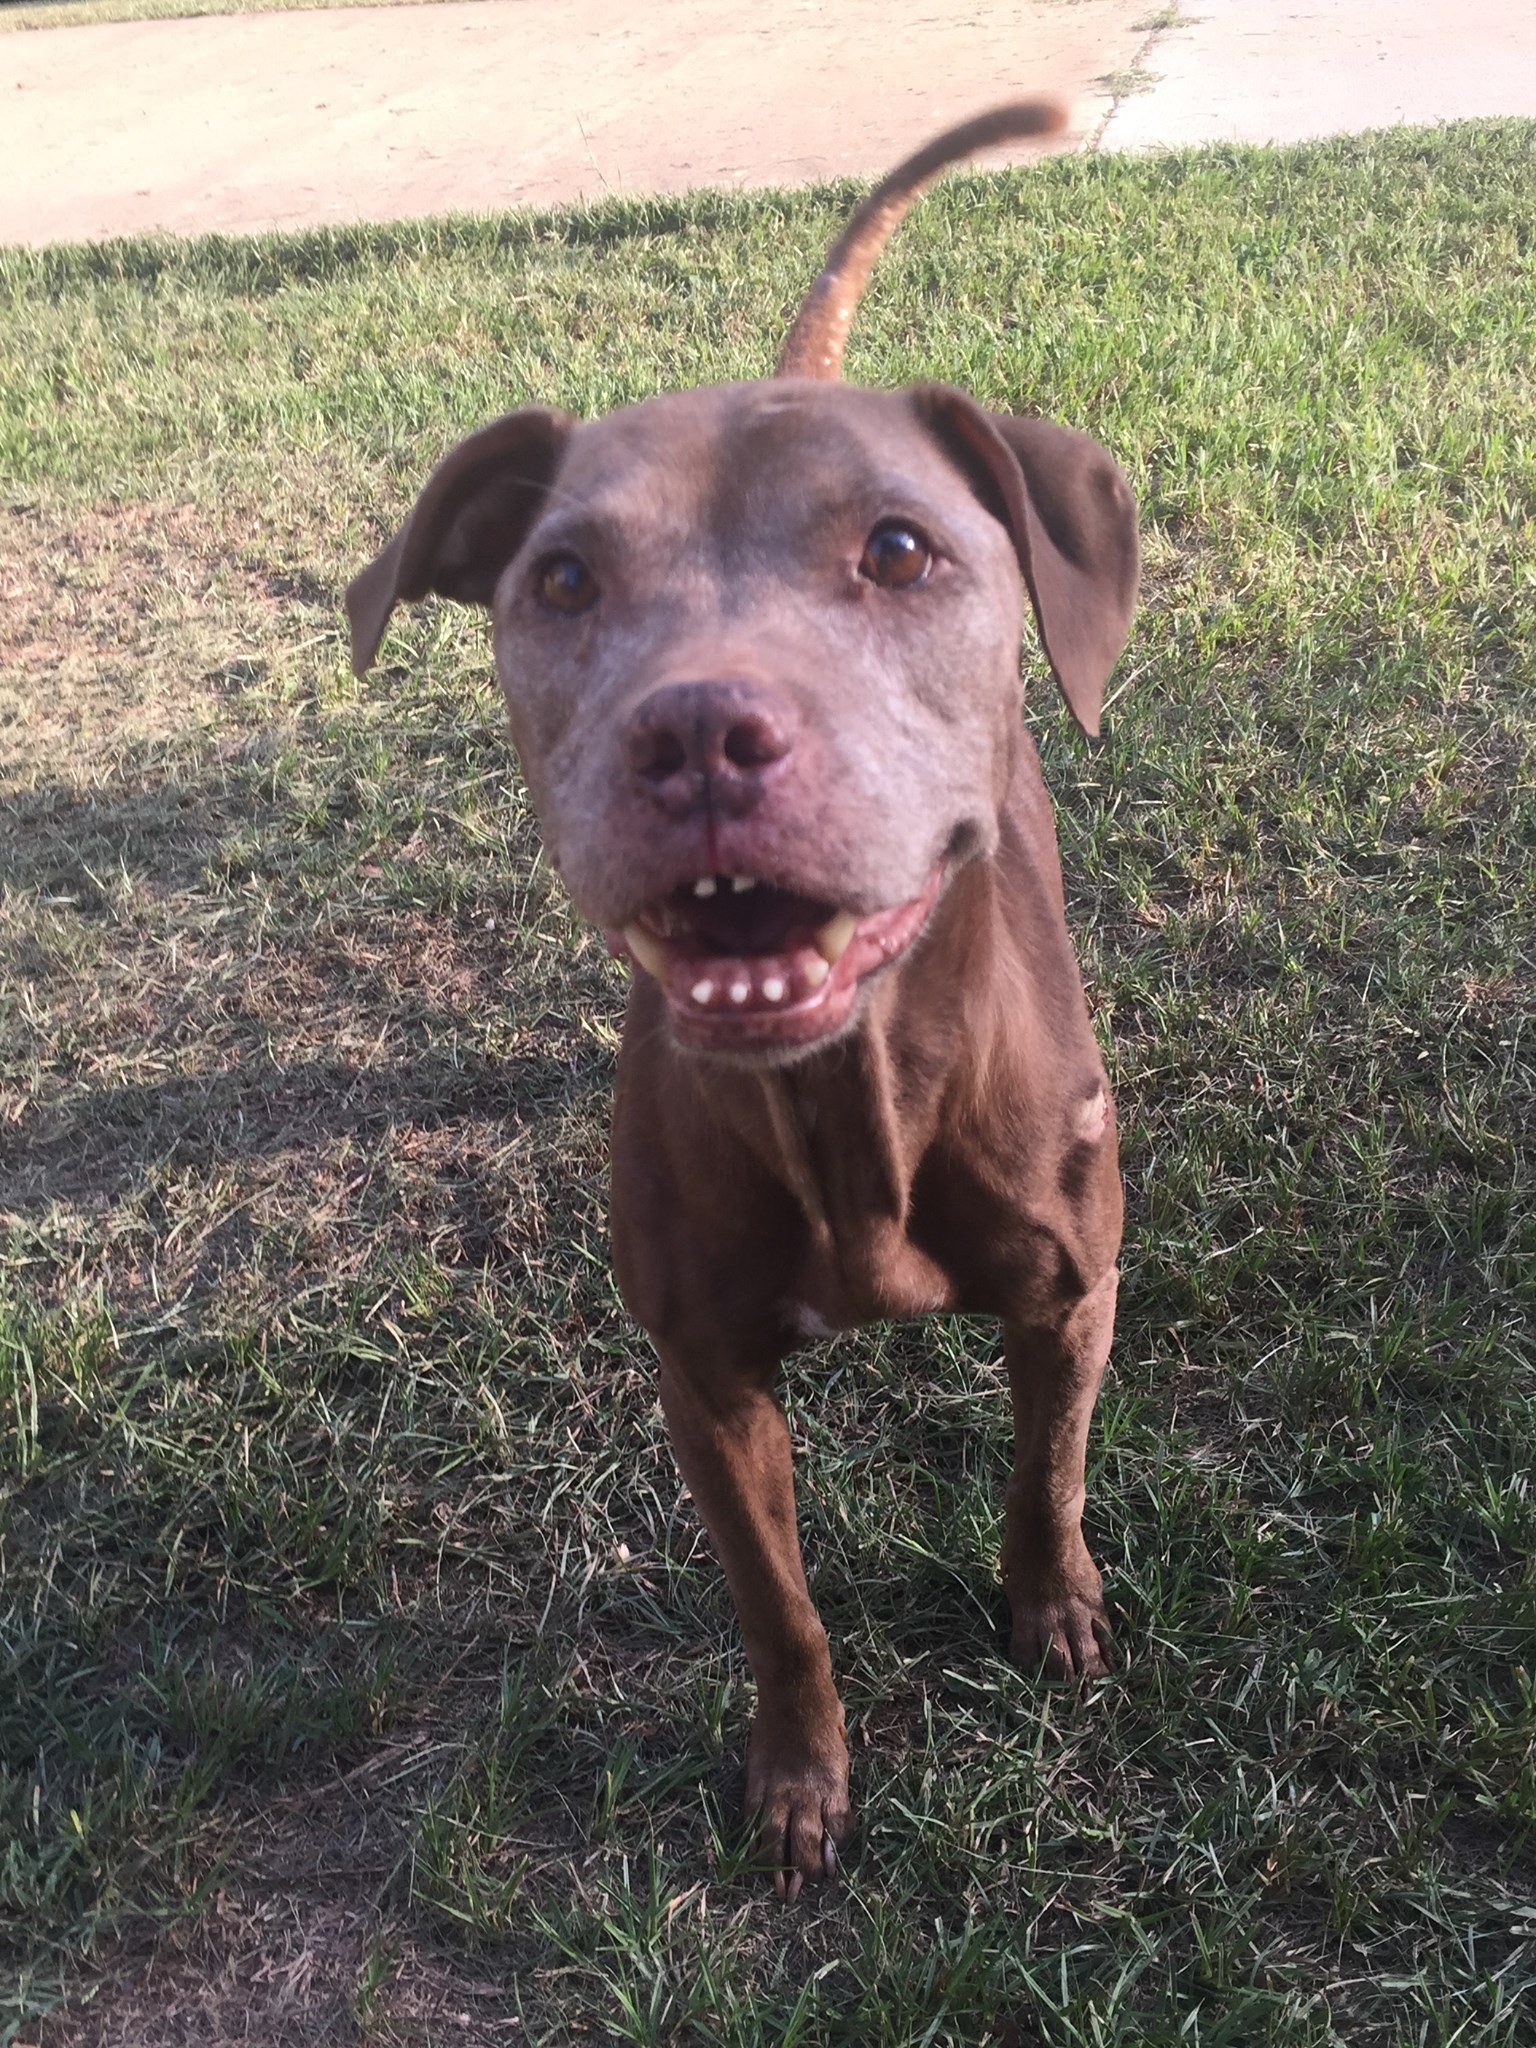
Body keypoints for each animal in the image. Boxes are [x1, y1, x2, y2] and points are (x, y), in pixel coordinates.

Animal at [348, 108, 1146, 1900]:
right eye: (564, 578)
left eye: (900, 548)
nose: (697, 730)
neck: (853, 1097)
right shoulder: (705, 1380)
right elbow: (780, 1610)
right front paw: (799, 1778)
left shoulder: (1074, 1293)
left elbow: (1047, 1470)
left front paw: (1052, 1605)